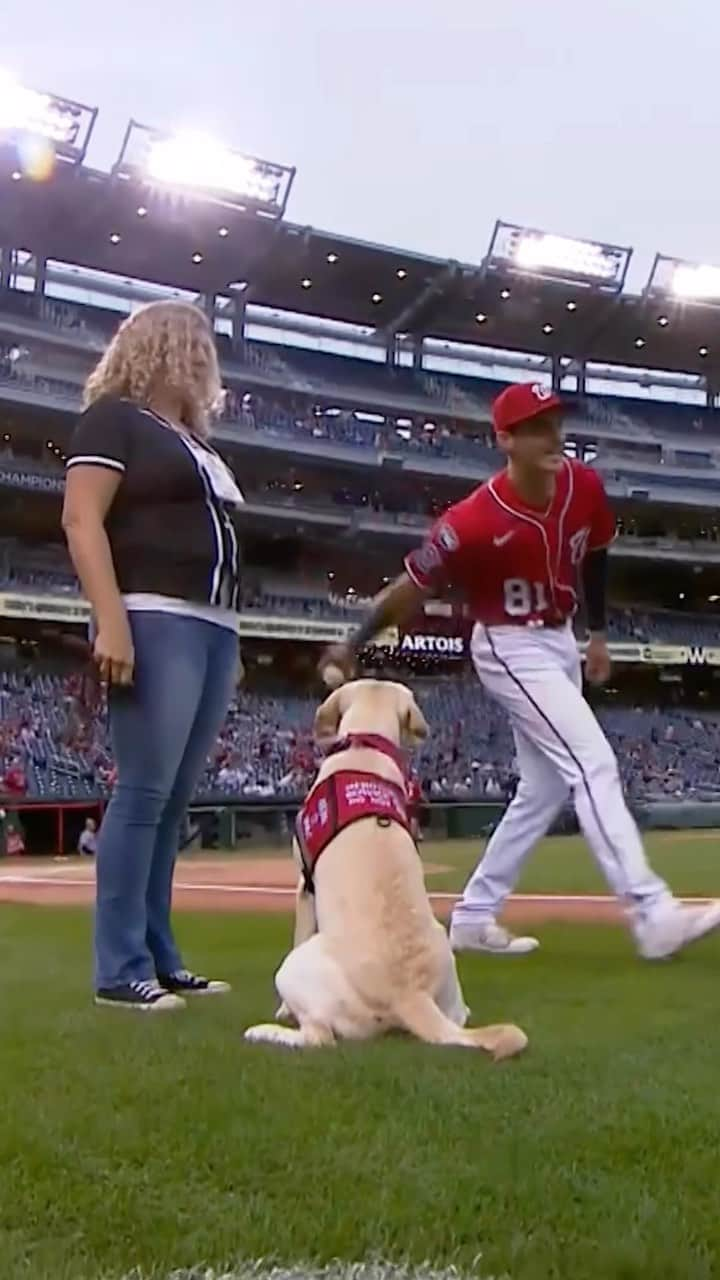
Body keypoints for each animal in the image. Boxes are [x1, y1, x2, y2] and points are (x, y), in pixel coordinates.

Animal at [243, 680, 525, 1059]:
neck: (366, 748)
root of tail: (410, 995)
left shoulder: (305, 886)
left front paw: (282, 1011)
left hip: (295, 967)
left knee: (319, 1037)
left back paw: (266, 1032)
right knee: (459, 1019)